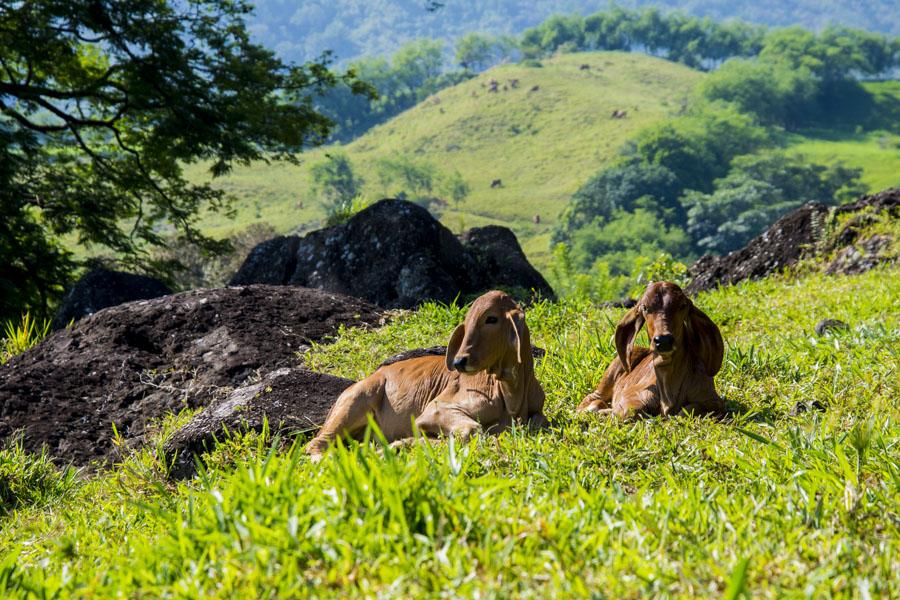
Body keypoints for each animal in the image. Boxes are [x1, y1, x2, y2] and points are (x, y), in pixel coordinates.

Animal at [308, 292, 548, 458]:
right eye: (468, 320)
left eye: (491, 319)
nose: (459, 361)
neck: (512, 393)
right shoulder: (435, 410)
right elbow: (471, 431)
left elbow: (539, 421)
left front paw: (397, 445)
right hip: (354, 403)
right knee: (315, 445)